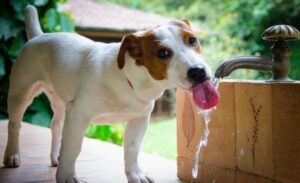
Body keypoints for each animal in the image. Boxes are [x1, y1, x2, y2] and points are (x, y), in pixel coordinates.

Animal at [2, 5, 220, 182]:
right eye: (162, 53)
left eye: (192, 40)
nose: (198, 71)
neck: (130, 80)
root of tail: (38, 36)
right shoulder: (78, 114)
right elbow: (72, 147)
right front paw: (66, 176)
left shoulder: (139, 119)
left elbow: (132, 148)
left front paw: (135, 174)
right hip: (21, 93)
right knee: (15, 125)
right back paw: (12, 155)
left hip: (60, 101)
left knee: (55, 125)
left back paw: (55, 157)